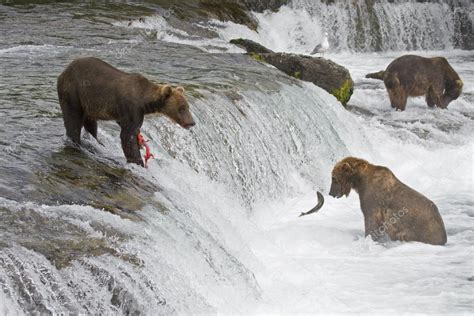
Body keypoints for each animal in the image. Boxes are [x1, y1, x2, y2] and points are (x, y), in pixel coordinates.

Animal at [57, 56, 194, 167]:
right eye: (181, 108)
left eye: (187, 107)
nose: (192, 122)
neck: (144, 100)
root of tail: (64, 71)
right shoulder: (132, 108)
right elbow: (128, 136)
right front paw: (138, 161)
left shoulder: (128, 113)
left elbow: (133, 131)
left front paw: (140, 143)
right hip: (74, 92)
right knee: (73, 119)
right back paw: (76, 142)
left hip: (89, 104)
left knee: (90, 124)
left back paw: (97, 142)